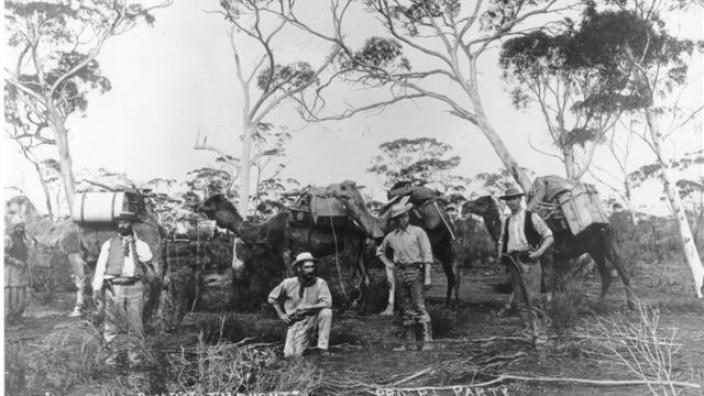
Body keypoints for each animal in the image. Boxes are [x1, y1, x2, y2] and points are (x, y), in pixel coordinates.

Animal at [5, 194, 170, 322]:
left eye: (16, 201)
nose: (6, 204)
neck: (59, 230)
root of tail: (158, 227)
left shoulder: (74, 253)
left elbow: (80, 282)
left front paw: (76, 311)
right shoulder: (92, 259)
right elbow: (94, 281)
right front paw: (98, 311)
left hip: (151, 252)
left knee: (157, 281)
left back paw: (153, 316)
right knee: (163, 280)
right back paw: (158, 316)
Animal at [326, 183, 468, 310]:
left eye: (343, 187)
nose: (329, 190)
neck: (379, 225)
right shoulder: (387, 250)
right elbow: (391, 279)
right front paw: (392, 307)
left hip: (452, 242)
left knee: (455, 273)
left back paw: (456, 306)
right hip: (441, 249)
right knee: (449, 275)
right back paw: (446, 305)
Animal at [464, 195, 636, 310]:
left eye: (480, 201)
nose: (465, 205)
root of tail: (609, 222)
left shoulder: (546, 252)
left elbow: (546, 278)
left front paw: (546, 304)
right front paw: (507, 307)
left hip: (607, 242)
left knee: (622, 269)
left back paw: (631, 305)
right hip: (594, 249)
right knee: (606, 274)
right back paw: (597, 303)